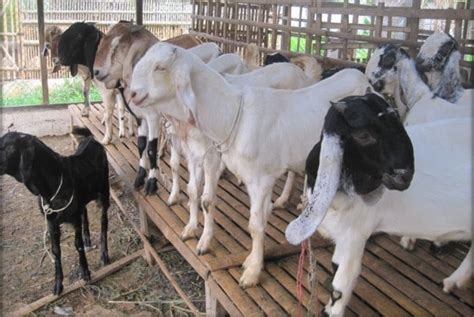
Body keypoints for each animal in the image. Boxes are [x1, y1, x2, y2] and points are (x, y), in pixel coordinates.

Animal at [0, 127, 109, 296]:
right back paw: (87, 238)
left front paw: (85, 273)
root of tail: (90, 139)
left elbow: (77, 245)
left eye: (8, 147)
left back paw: (104, 255)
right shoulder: (51, 221)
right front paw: (58, 284)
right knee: (84, 211)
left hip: (104, 191)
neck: (51, 186)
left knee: (104, 221)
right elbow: (56, 250)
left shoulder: (73, 217)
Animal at [129, 43, 370, 288]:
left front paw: (252, 271)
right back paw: (288, 201)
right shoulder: (200, 155)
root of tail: (358, 74)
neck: (232, 114)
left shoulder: (254, 178)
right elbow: (196, 193)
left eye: (160, 67)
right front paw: (192, 229)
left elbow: (253, 224)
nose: (131, 94)